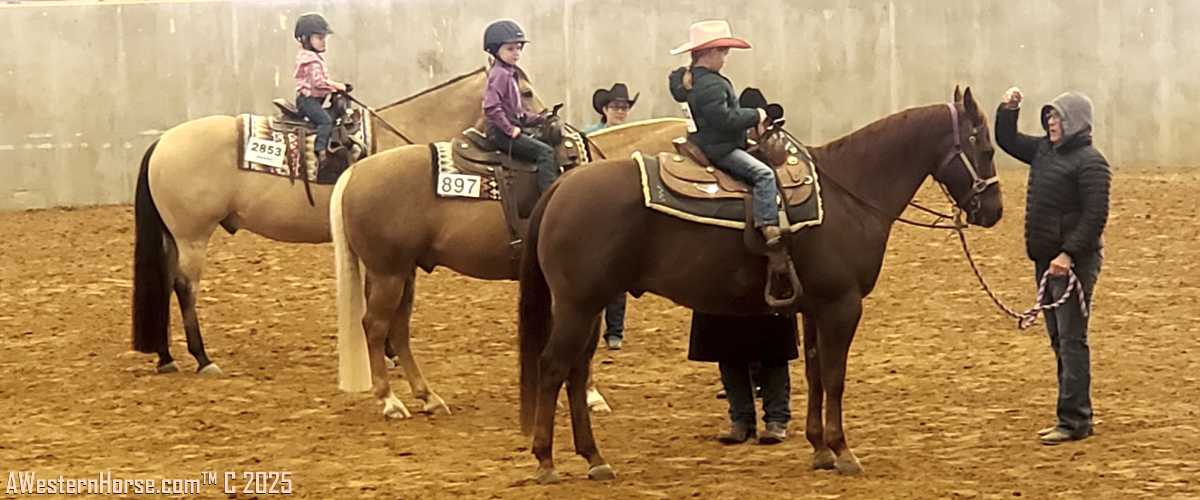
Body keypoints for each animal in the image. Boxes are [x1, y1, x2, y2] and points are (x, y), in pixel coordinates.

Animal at [131, 67, 527, 376]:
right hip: (192, 236)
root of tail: (163, 142)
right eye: (524, 92)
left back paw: (166, 356)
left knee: (165, 282)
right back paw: (202, 358)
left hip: (175, 236)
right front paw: (388, 353)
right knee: (185, 287)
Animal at [329, 118, 689, 418]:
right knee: (376, 327)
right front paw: (590, 396)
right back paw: (390, 401)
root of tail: (355, 173)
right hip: (387, 273)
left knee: (399, 330)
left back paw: (428, 397)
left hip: (404, 272)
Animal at [516, 87, 1004, 482]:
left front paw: (820, 450)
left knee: (576, 374)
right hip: (578, 306)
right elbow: (835, 377)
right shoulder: (842, 306)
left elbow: (814, 372)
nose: (994, 210)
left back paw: (594, 458)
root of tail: (562, 186)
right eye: (983, 145)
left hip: (590, 307)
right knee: (553, 369)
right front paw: (843, 451)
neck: (848, 193)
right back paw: (546, 461)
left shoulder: (815, 307)